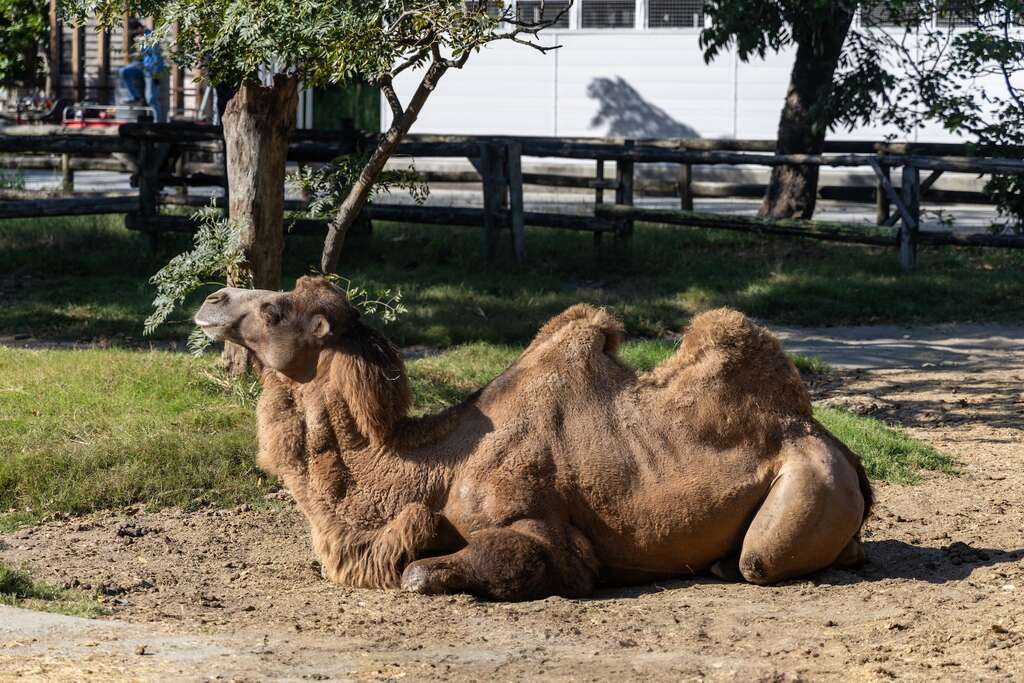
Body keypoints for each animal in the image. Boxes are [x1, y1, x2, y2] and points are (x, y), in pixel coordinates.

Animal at [193, 274, 872, 602]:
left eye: (274, 311)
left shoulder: (537, 527)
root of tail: (843, 452)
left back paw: (731, 566)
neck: (435, 467)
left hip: (811, 484)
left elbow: (424, 573)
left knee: (760, 559)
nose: (211, 299)